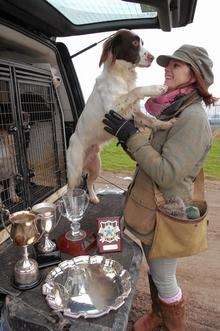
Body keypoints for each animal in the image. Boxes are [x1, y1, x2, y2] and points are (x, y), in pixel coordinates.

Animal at [67, 29, 172, 204]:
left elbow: (150, 120)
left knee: (89, 182)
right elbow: (136, 90)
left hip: (96, 166)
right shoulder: (112, 108)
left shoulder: (135, 113)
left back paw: (93, 197)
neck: (123, 76)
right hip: (74, 172)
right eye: (135, 43)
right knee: (70, 191)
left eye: (142, 42)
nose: (152, 57)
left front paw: (166, 123)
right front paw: (156, 88)